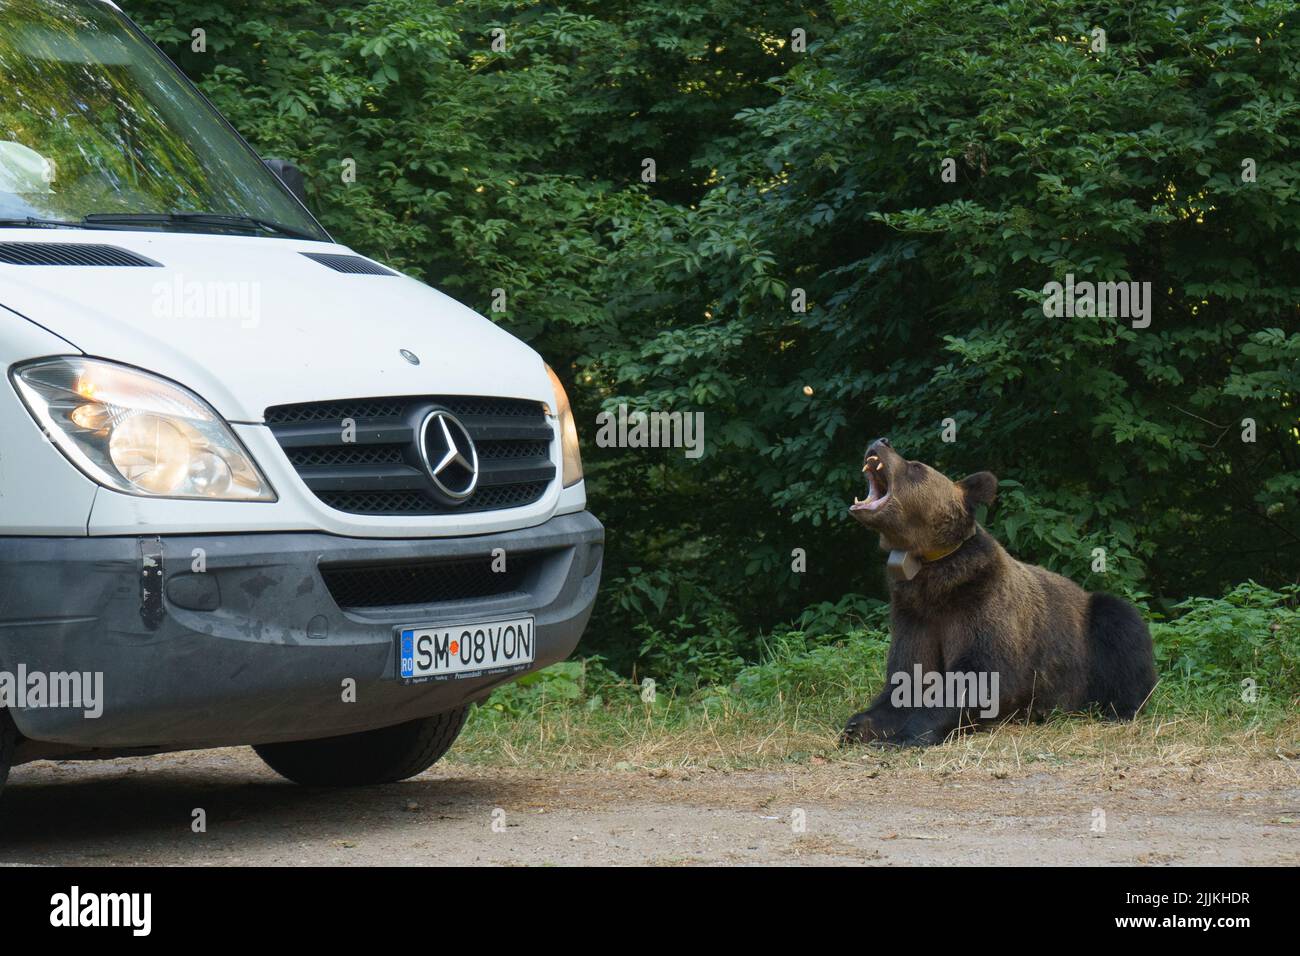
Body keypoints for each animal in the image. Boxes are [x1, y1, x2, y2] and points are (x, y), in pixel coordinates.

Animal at [842, 439, 1159, 749]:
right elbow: (907, 676)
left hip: (1088, 635)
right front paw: (859, 726)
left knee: (1121, 627)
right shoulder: (914, 613)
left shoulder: (981, 601)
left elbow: (981, 676)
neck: (936, 578)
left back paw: (1119, 709)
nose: (880, 441)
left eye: (916, 466)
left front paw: (905, 736)